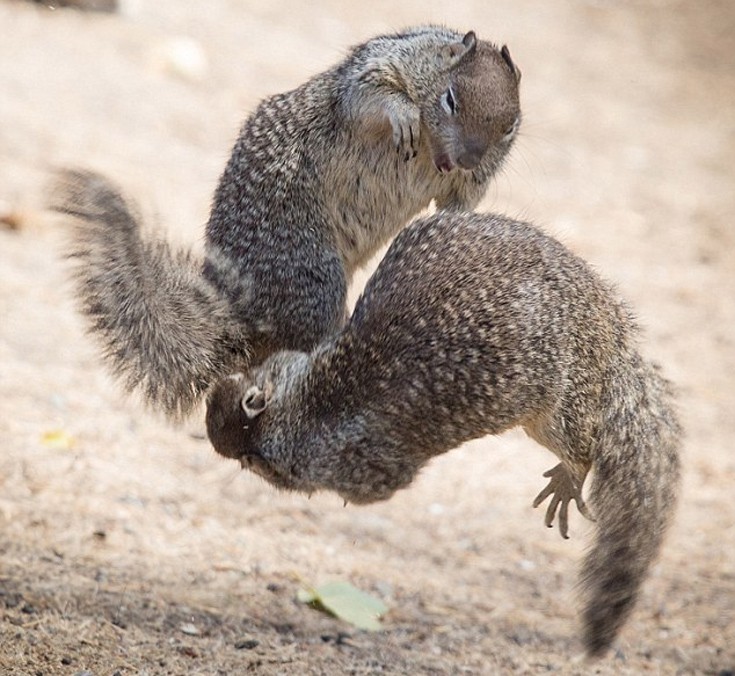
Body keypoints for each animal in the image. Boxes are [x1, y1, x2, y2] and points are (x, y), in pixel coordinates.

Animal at [53, 26, 524, 420]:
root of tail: (241, 313)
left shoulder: (469, 182)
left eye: (510, 125)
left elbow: (459, 205)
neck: (430, 151)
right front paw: (404, 114)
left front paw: (457, 227)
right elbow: (371, 92)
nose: (468, 158)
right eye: (450, 99)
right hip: (312, 272)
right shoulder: (380, 64)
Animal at [206, 210, 684, 656]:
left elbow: (371, 491)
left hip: (557, 411)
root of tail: (614, 335)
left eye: (252, 461)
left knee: (582, 445)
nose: (212, 422)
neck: (308, 406)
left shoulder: (365, 470)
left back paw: (569, 479)